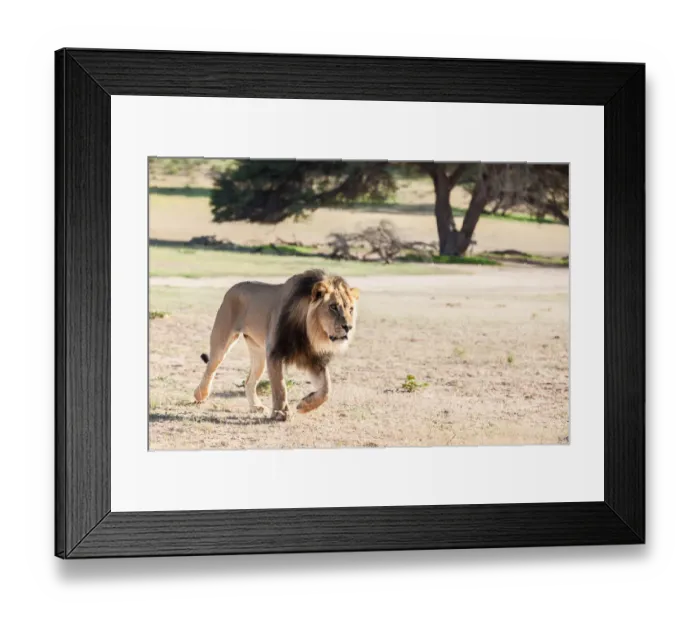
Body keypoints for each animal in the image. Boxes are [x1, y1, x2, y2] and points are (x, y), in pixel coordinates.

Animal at [193, 269, 359, 421]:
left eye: (350, 309)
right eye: (333, 307)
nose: (348, 327)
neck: (309, 332)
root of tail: (234, 287)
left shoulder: (314, 359)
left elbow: (327, 389)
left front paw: (305, 405)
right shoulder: (274, 352)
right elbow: (280, 386)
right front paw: (281, 413)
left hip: (258, 355)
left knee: (248, 381)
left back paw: (256, 406)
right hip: (222, 340)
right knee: (211, 368)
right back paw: (200, 394)